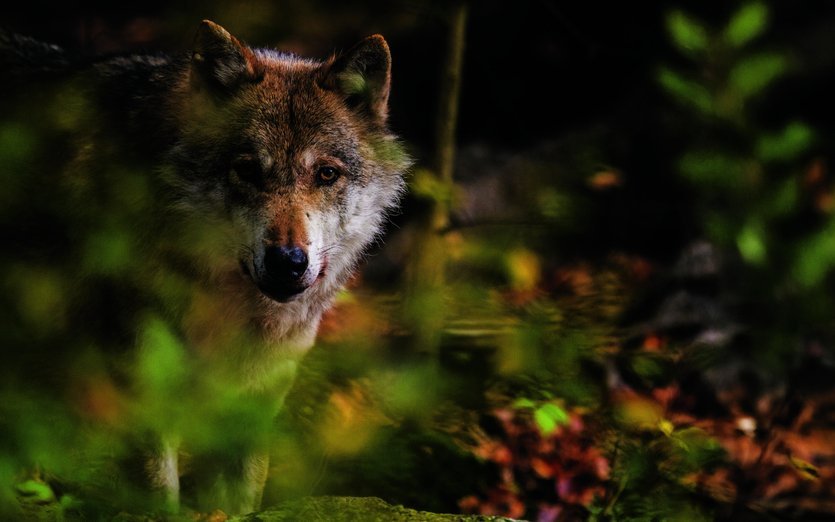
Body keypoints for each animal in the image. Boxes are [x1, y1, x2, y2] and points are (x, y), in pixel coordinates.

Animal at [0, 20, 408, 515]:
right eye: (248, 170)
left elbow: (241, 495)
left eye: (326, 174)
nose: (288, 262)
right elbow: (159, 492)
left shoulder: (256, 397)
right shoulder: (144, 385)